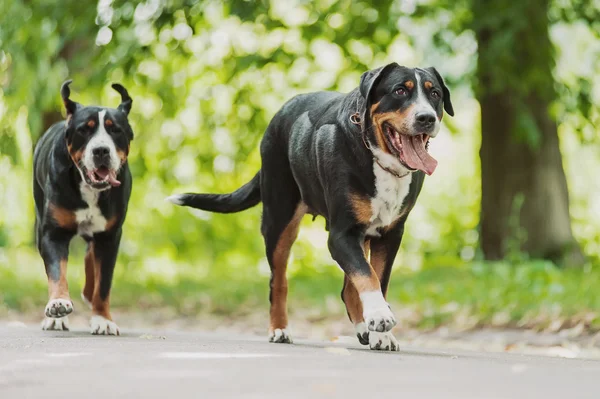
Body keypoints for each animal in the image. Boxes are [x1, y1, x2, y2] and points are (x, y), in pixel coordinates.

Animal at [33, 79, 134, 336]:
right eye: (84, 130)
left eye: (115, 130)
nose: (101, 150)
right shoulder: (53, 233)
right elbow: (57, 273)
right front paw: (58, 306)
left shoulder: (110, 236)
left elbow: (103, 283)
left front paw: (103, 319)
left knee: (91, 254)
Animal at [166, 61, 452, 350]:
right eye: (400, 91)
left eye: (435, 94)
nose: (426, 117)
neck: (377, 158)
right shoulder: (341, 234)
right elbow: (366, 274)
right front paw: (380, 317)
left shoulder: (389, 234)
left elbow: (376, 278)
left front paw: (380, 332)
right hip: (279, 221)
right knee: (278, 281)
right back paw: (279, 329)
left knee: (347, 288)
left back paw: (363, 328)